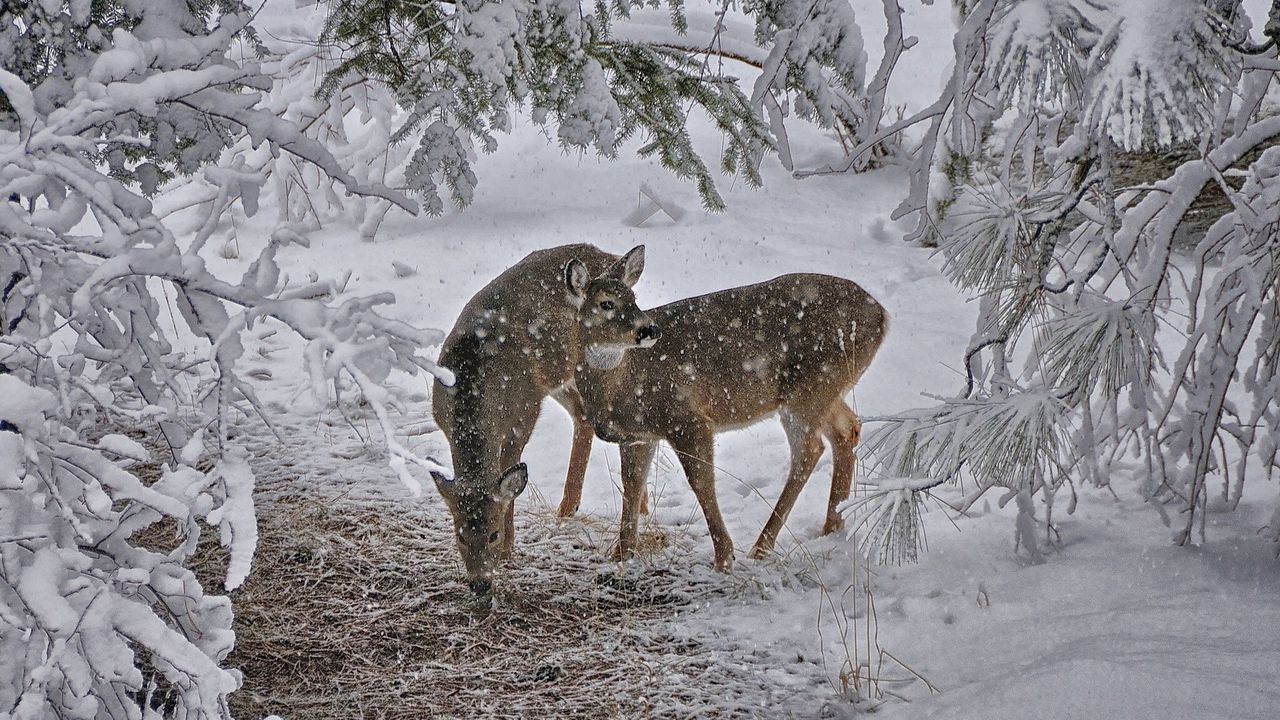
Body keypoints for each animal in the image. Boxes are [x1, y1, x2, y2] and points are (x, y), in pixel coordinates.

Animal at [432, 243, 650, 591]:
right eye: (460, 536)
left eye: (492, 534)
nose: (480, 583)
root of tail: (608, 257)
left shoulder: (525, 411)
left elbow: (509, 476)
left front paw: (508, 551)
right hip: (559, 375)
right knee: (583, 416)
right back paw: (571, 508)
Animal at [565, 251, 885, 566]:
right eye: (606, 303)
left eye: (633, 298)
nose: (649, 329)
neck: (621, 384)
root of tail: (882, 316)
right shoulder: (638, 436)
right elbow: (631, 484)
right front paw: (621, 554)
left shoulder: (687, 417)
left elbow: (701, 481)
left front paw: (724, 556)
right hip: (826, 389)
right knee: (848, 428)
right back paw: (832, 526)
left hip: (811, 387)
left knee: (809, 450)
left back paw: (761, 547)